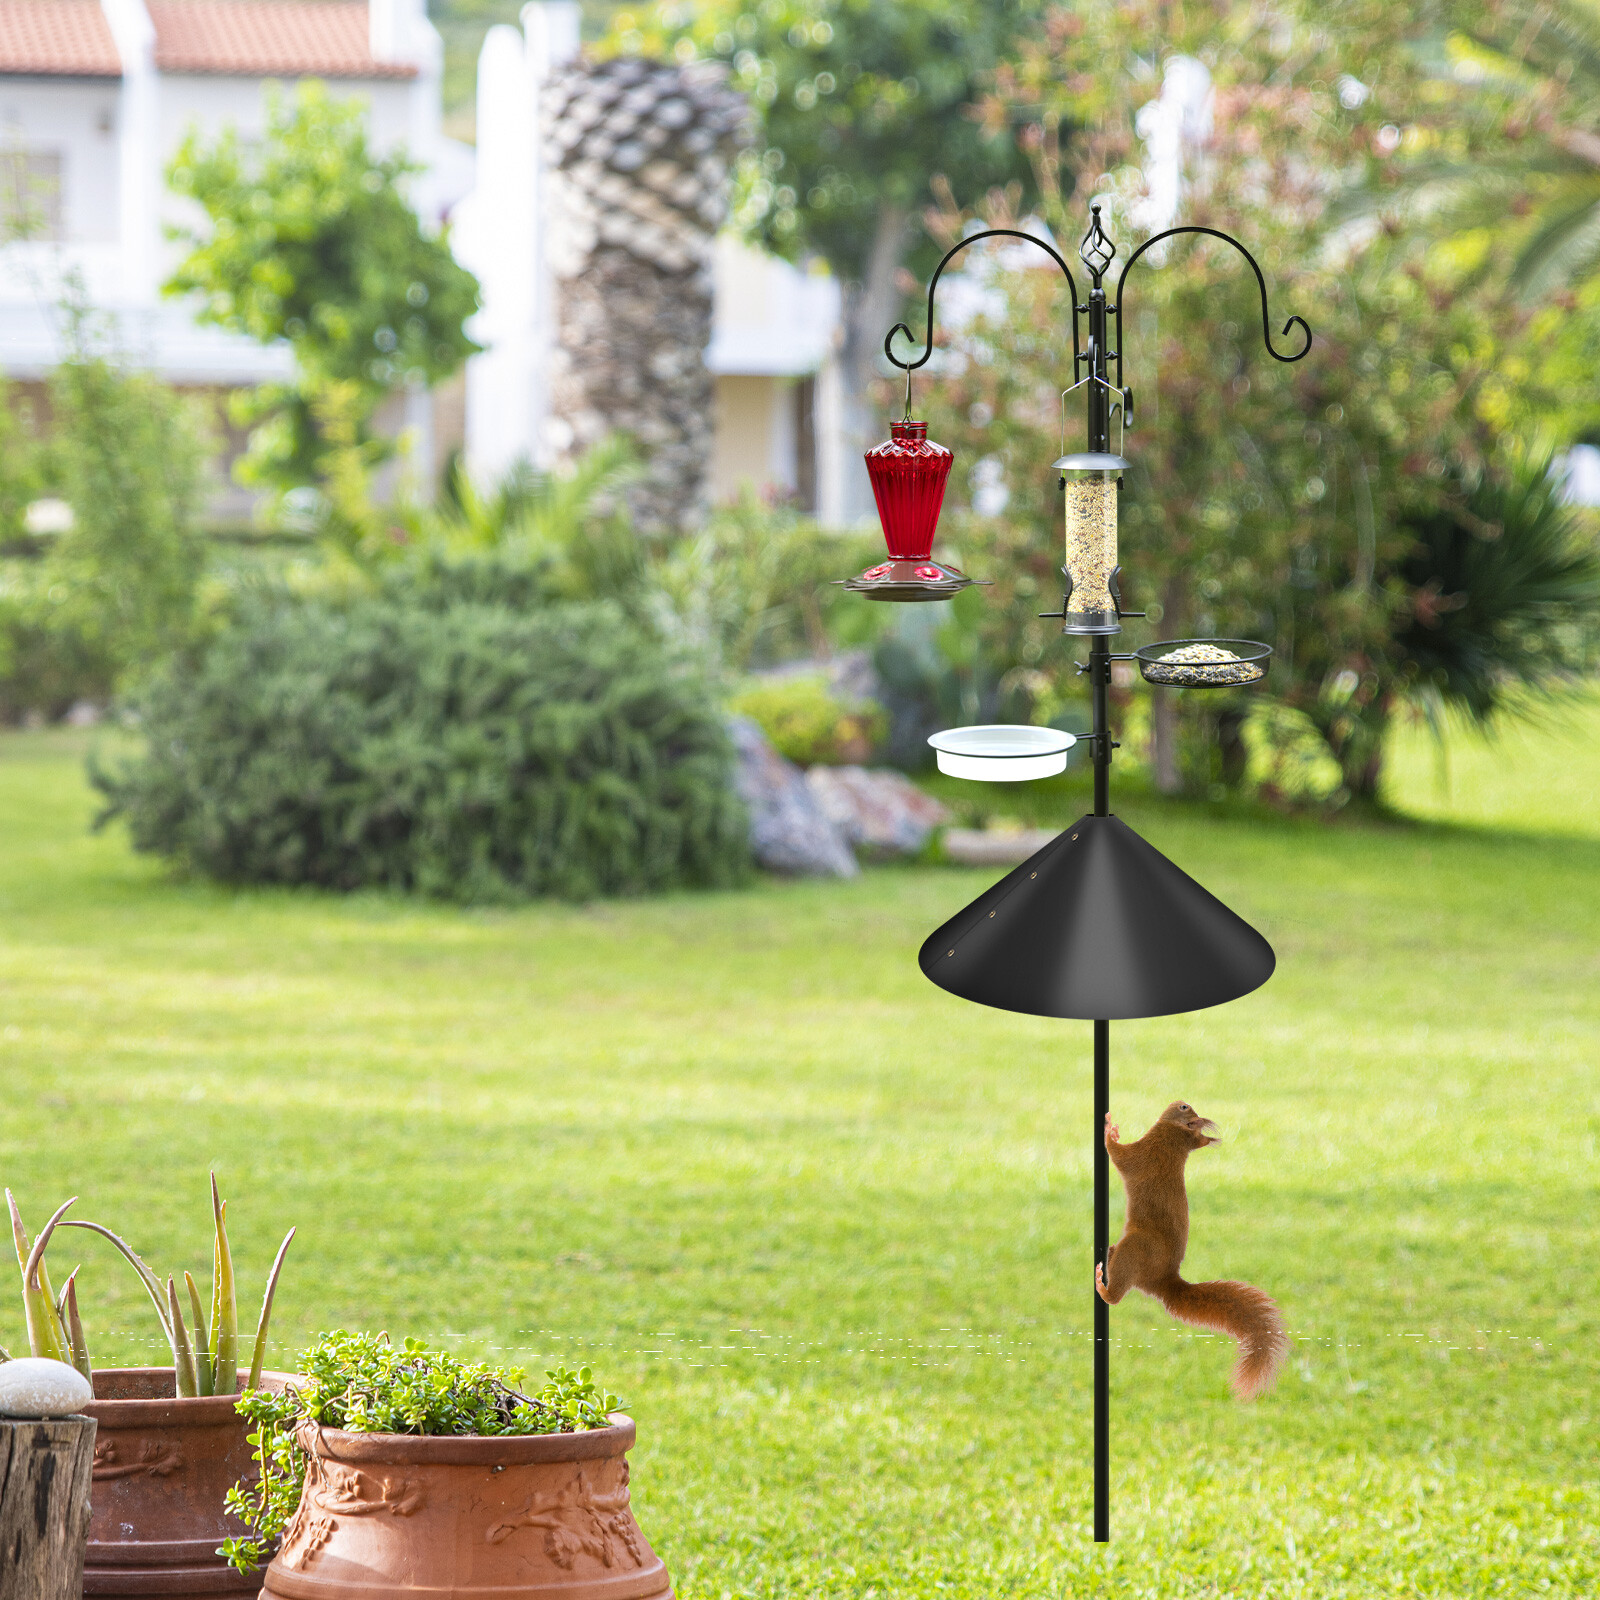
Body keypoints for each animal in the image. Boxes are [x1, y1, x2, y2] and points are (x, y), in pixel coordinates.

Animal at [1095, 1101, 1288, 1401]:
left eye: (1184, 1108)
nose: (1178, 1102)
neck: (1175, 1143)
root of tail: (1165, 1279)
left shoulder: (1143, 1155)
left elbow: (1118, 1155)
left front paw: (1109, 1130)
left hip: (1136, 1249)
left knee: (1115, 1296)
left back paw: (1102, 1283)